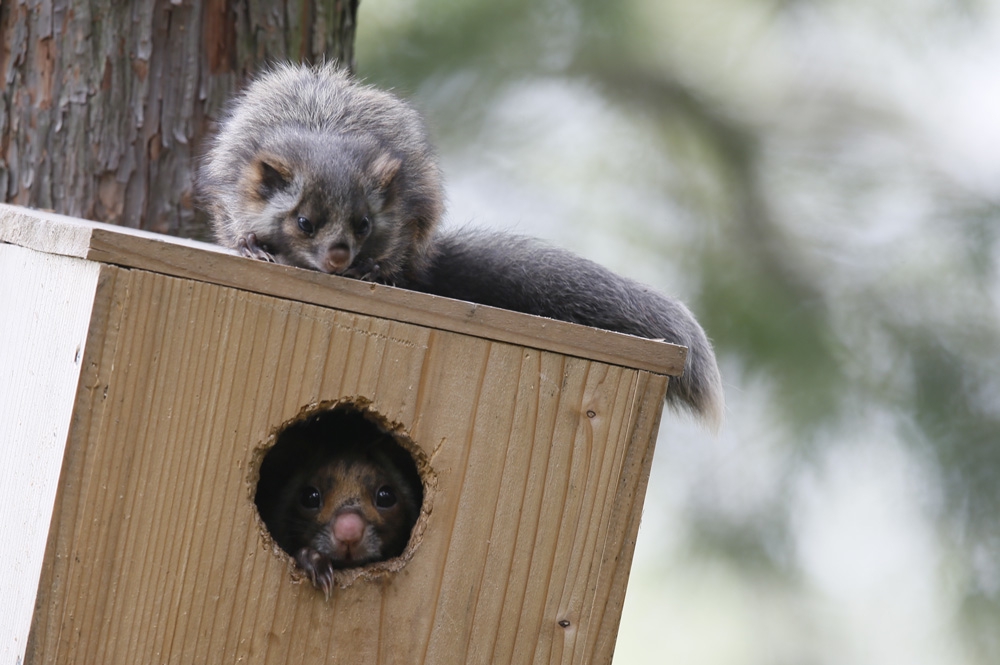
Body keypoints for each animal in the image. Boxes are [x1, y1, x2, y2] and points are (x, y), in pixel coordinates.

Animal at [197, 61, 728, 426]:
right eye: (304, 222)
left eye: (364, 224)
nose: (340, 257)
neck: (324, 132)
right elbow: (234, 222)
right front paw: (252, 245)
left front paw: (374, 270)